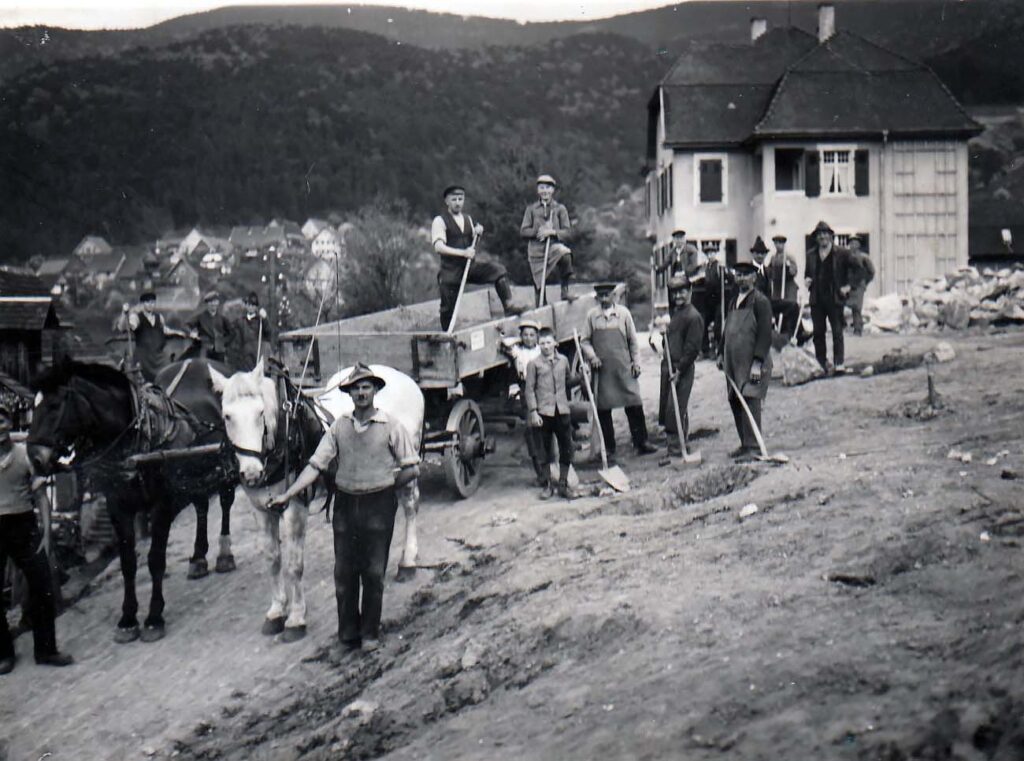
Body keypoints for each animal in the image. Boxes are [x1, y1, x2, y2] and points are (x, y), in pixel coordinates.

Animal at [28, 360, 237, 639]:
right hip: (194, 470)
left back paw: (224, 555)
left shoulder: (162, 505)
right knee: (201, 505)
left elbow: (155, 559)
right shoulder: (118, 507)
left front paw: (154, 618)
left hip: (225, 461)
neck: (136, 441)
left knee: (225, 501)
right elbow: (128, 562)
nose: (34, 458)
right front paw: (127, 619)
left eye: (54, 404)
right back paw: (198, 558)